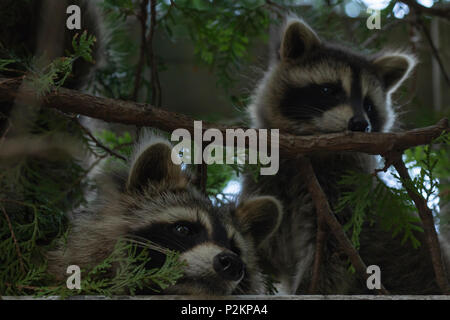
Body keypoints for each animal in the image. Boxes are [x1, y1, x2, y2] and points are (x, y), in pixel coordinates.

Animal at [243, 16, 450, 294]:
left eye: (368, 105)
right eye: (329, 91)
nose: (361, 124)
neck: (315, 152)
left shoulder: (343, 192)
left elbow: (333, 254)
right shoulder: (267, 179)